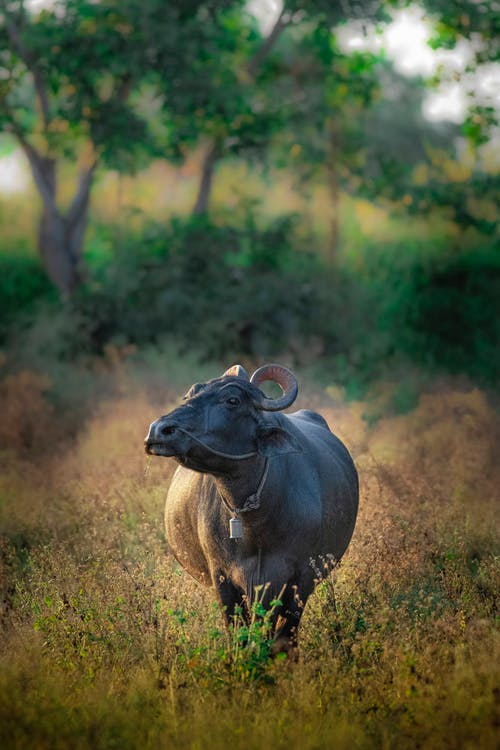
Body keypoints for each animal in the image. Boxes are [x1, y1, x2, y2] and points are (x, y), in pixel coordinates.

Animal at [146, 364, 360, 652]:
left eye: (232, 400)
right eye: (190, 394)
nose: (159, 430)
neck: (253, 525)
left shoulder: (300, 578)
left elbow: (283, 636)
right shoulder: (222, 577)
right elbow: (240, 632)